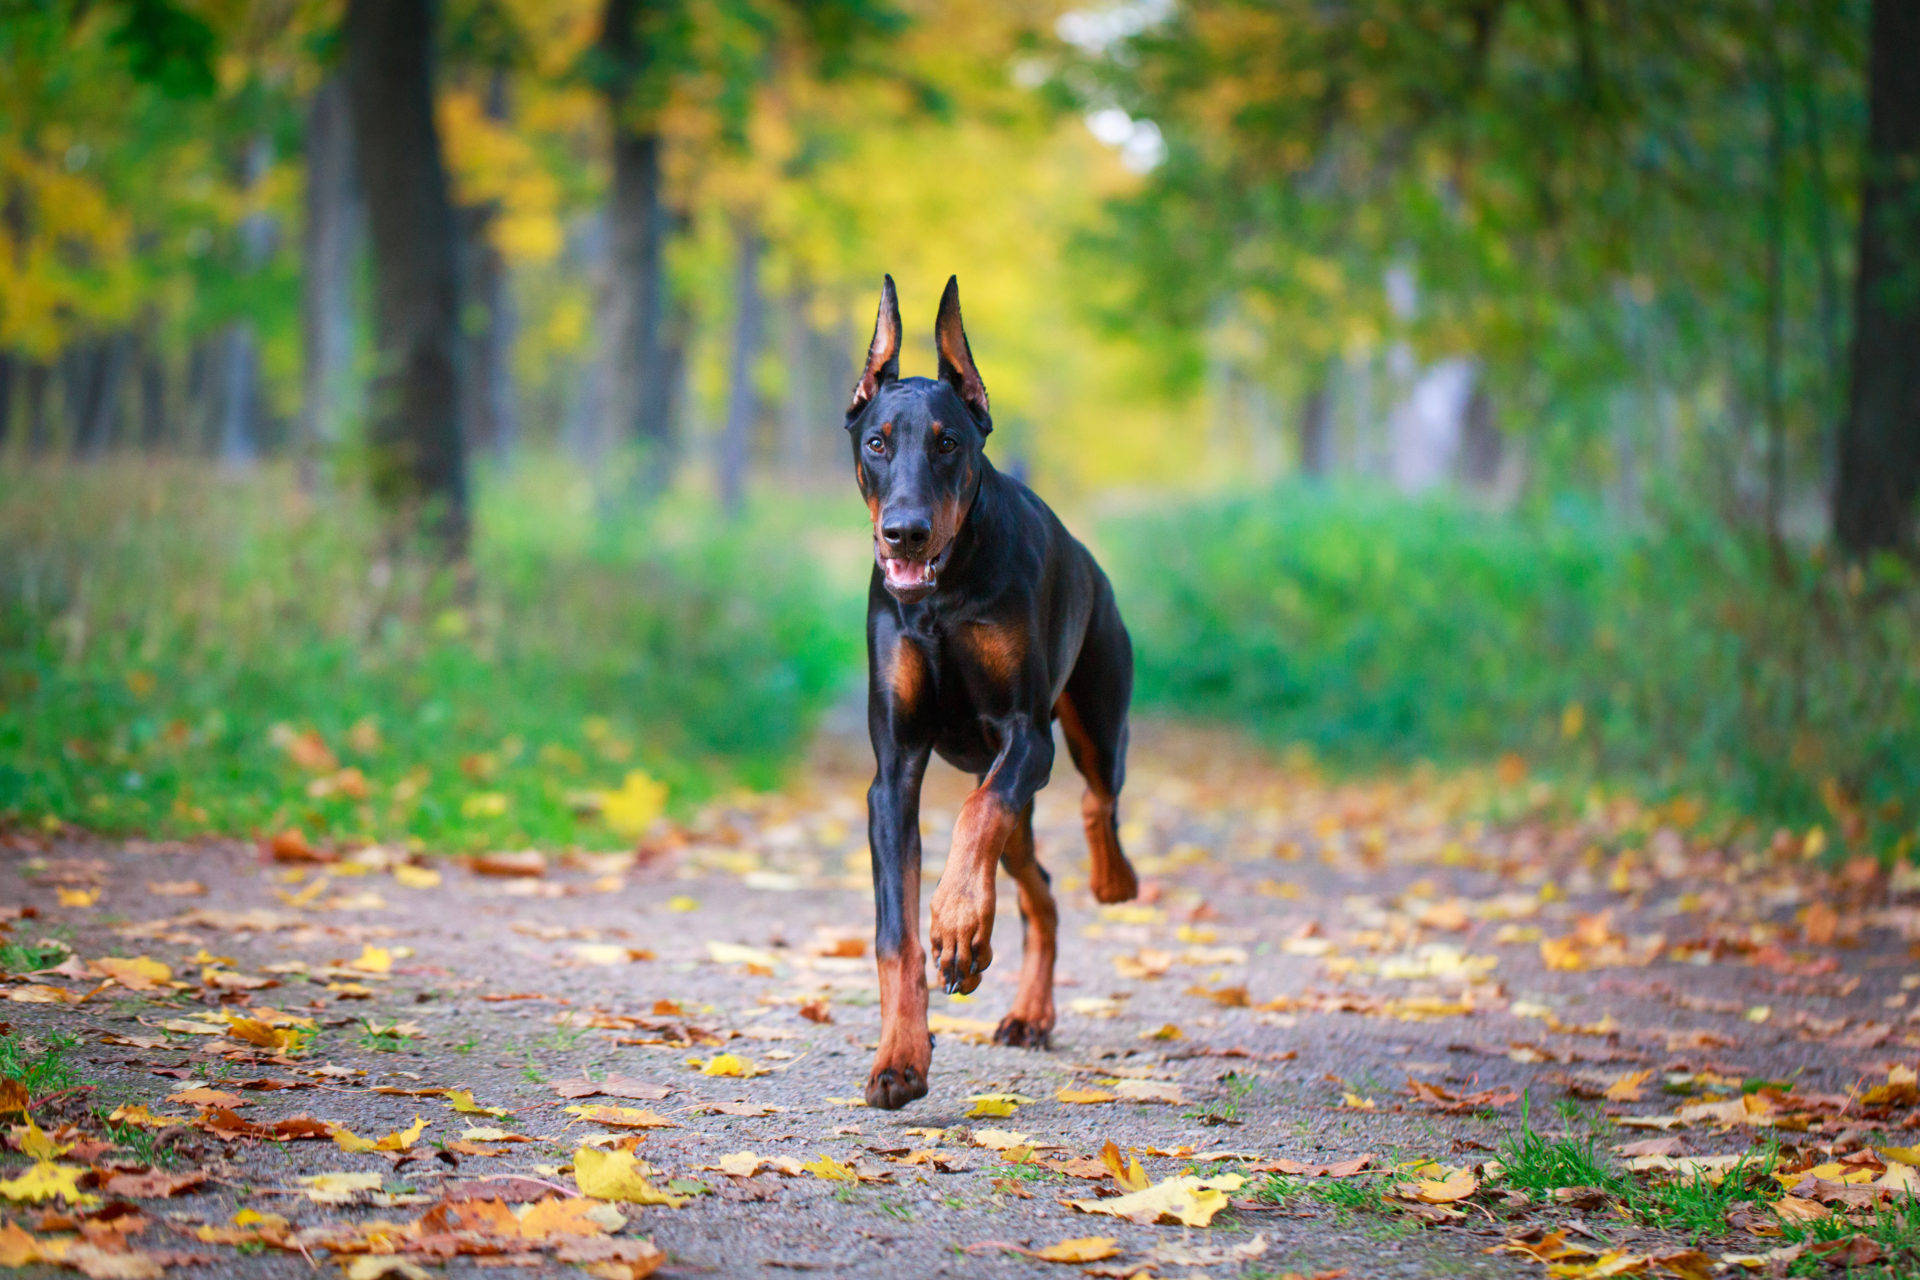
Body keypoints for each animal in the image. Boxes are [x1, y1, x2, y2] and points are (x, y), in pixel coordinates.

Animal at [844, 272, 1136, 1113]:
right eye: (878, 442)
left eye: (949, 443)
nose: (905, 533)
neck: (943, 594)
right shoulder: (894, 771)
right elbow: (895, 934)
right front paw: (900, 1059)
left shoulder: (1024, 736)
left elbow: (976, 821)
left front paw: (955, 922)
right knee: (1038, 889)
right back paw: (1023, 1004)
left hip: (1093, 719)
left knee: (1094, 802)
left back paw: (1109, 880)